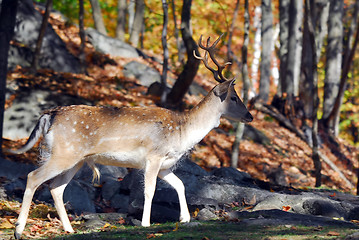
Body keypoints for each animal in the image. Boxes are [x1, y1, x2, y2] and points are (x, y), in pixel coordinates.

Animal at [9, 34, 253, 239]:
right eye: (234, 97)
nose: (249, 116)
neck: (182, 133)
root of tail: (49, 115)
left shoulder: (165, 165)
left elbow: (181, 185)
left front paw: (185, 218)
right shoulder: (154, 156)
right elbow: (150, 190)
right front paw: (146, 223)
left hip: (75, 159)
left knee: (56, 188)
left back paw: (69, 229)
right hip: (64, 153)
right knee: (33, 177)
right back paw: (19, 230)